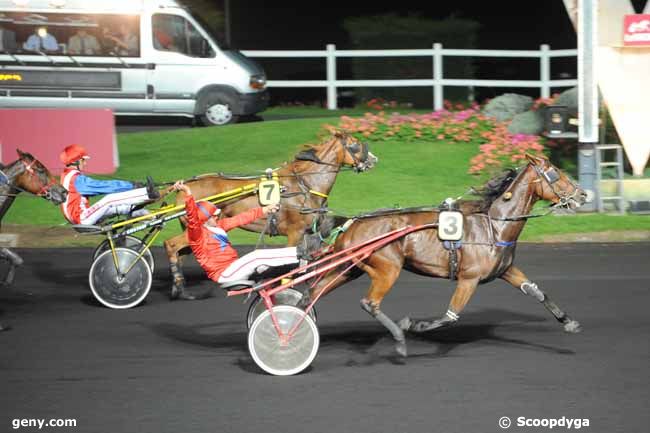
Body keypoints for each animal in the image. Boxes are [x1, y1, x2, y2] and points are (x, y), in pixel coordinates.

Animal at [161, 130, 374, 296]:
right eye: (355, 144)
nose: (373, 159)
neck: (304, 185)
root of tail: (185, 186)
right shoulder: (295, 232)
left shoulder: (309, 232)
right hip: (197, 229)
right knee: (171, 244)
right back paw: (178, 286)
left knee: (181, 252)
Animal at [302, 154, 584, 354]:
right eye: (555, 174)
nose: (583, 194)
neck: (493, 225)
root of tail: (352, 222)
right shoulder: (469, 278)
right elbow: (450, 316)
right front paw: (413, 325)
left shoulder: (506, 270)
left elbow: (536, 291)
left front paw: (568, 321)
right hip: (387, 268)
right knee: (369, 302)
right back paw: (399, 338)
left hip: (350, 268)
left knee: (314, 292)